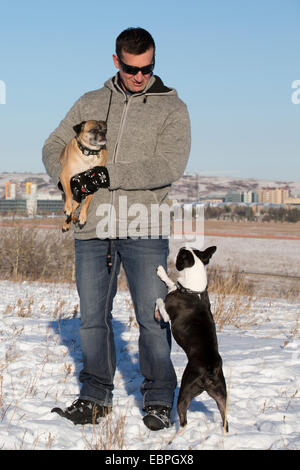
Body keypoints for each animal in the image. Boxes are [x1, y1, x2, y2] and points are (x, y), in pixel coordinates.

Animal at [156, 246, 229, 434]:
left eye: (180, 255)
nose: (180, 247)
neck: (193, 291)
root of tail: (210, 369)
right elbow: (172, 283)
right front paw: (163, 273)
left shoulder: (168, 314)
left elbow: (160, 301)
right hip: (221, 394)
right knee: (225, 420)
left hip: (185, 390)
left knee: (184, 421)